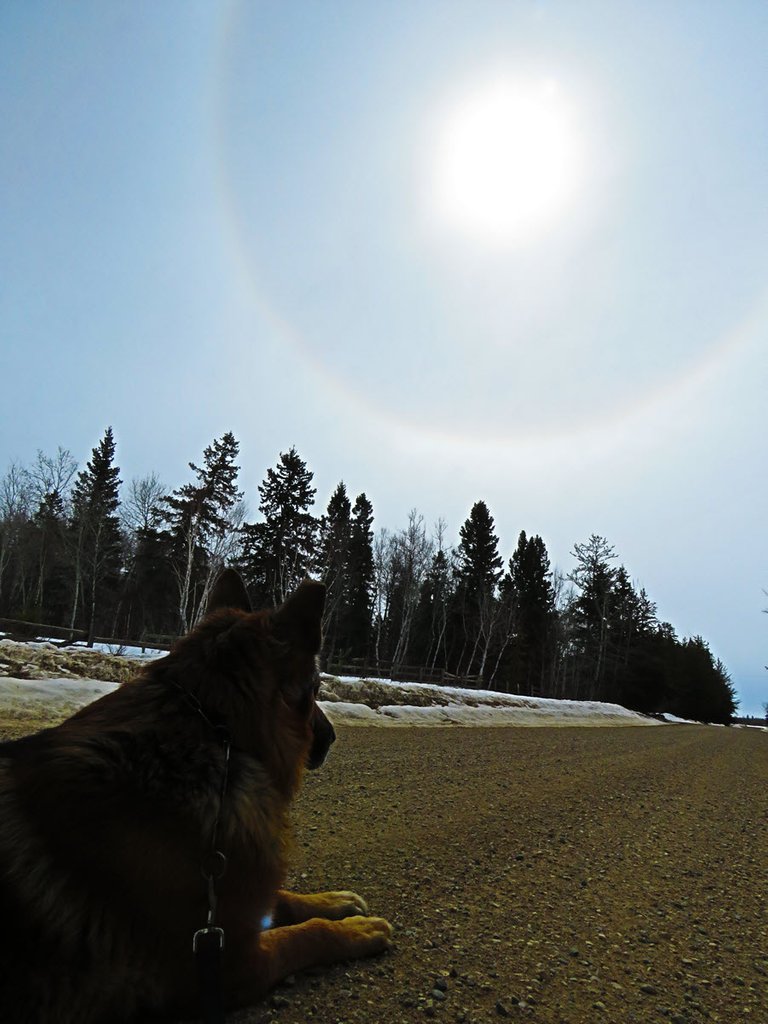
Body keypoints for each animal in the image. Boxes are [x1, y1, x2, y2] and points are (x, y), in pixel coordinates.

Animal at [0, 573, 393, 1019]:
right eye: (315, 689)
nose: (330, 737)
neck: (218, 731)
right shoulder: (231, 965)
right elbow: (307, 935)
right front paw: (355, 930)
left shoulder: (228, 906)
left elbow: (282, 901)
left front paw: (332, 900)